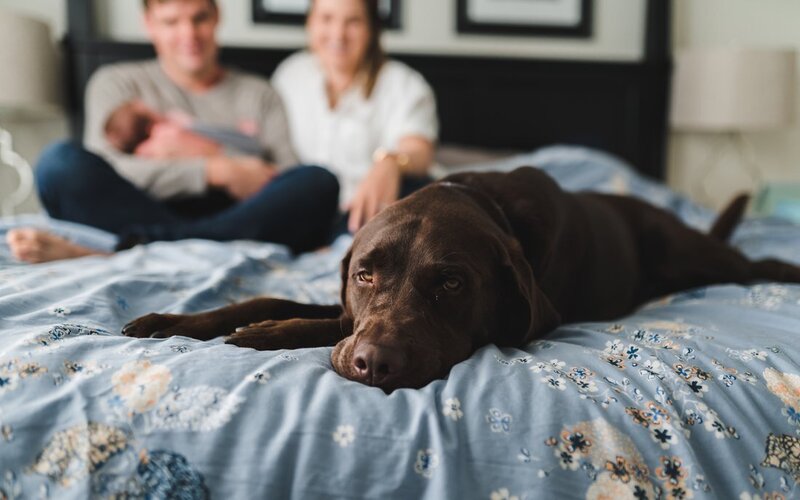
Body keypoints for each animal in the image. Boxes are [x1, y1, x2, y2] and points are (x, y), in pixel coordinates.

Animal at [122, 166, 800, 392]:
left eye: (450, 284)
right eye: (364, 274)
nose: (373, 365)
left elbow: (313, 327)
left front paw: (264, 334)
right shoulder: (346, 309)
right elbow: (265, 296)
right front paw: (170, 320)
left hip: (695, 256)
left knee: (750, 266)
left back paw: (783, 268)